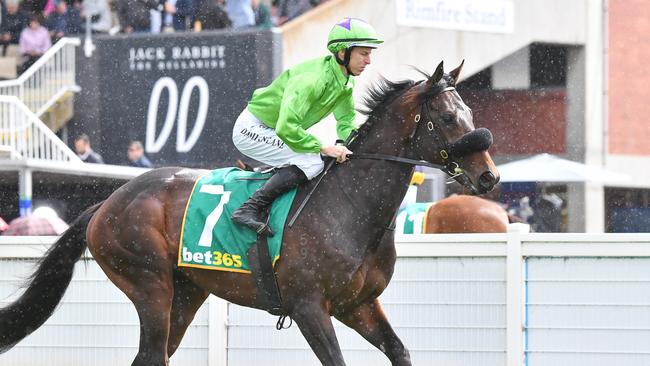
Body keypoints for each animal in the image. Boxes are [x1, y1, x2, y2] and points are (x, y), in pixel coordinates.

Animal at [0, 61, 498, 364]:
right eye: (448, 118)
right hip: (149, 284)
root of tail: (106, 202)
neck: (349, 207)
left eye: (471, 114)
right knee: (151, 353)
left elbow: (399, 351)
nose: (489, 177)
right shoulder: (309, 307)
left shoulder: (357, 305)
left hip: (186, 292)